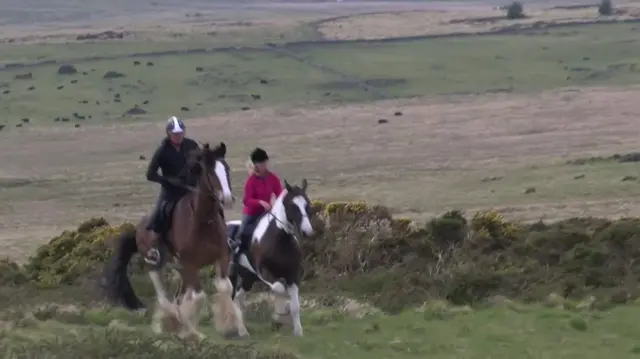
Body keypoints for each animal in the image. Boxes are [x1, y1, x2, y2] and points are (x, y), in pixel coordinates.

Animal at [105, 143, 248, 340]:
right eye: (210, 173)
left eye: (226, 169)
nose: (227, 199)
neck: (203, 221)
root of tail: (137, 229)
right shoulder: (190, 264)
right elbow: (198, 297)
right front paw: (194, 332)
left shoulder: (222, 257)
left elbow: (225, 287)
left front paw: (234, 327)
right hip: (155, 266)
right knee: (164, 297)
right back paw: (172, 324)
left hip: (179, 269)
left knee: (178, 297)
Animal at [226, 179, 314, 338]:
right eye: (292, 206)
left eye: (307, 204)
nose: (307, 232)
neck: (279, 240)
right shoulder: (264, 272)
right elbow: (279, 288)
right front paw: (279, 317)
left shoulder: (293, 274)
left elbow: (295, 305)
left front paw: (298, 331)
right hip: (233, 275)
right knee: (233, 298)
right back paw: (240, 330)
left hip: (248, 278)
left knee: (238, 298)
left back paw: (243, 330)